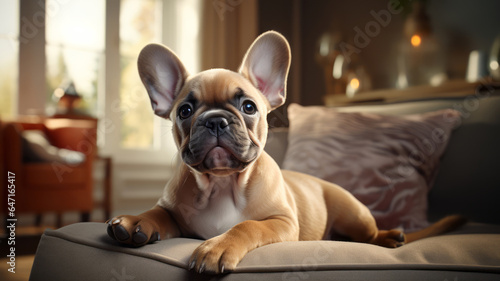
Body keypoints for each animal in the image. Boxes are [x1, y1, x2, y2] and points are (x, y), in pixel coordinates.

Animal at [108, 30, 464, 274]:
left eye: (248, 107)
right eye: (184, 111)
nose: (215, 120)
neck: (222, 182)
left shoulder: (281, 222)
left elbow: (246, 226)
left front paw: (218, 247)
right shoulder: (173, 212)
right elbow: (158, 213)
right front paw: (134, 220)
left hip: (355, 215)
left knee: (371, 234)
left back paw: (391, 236)